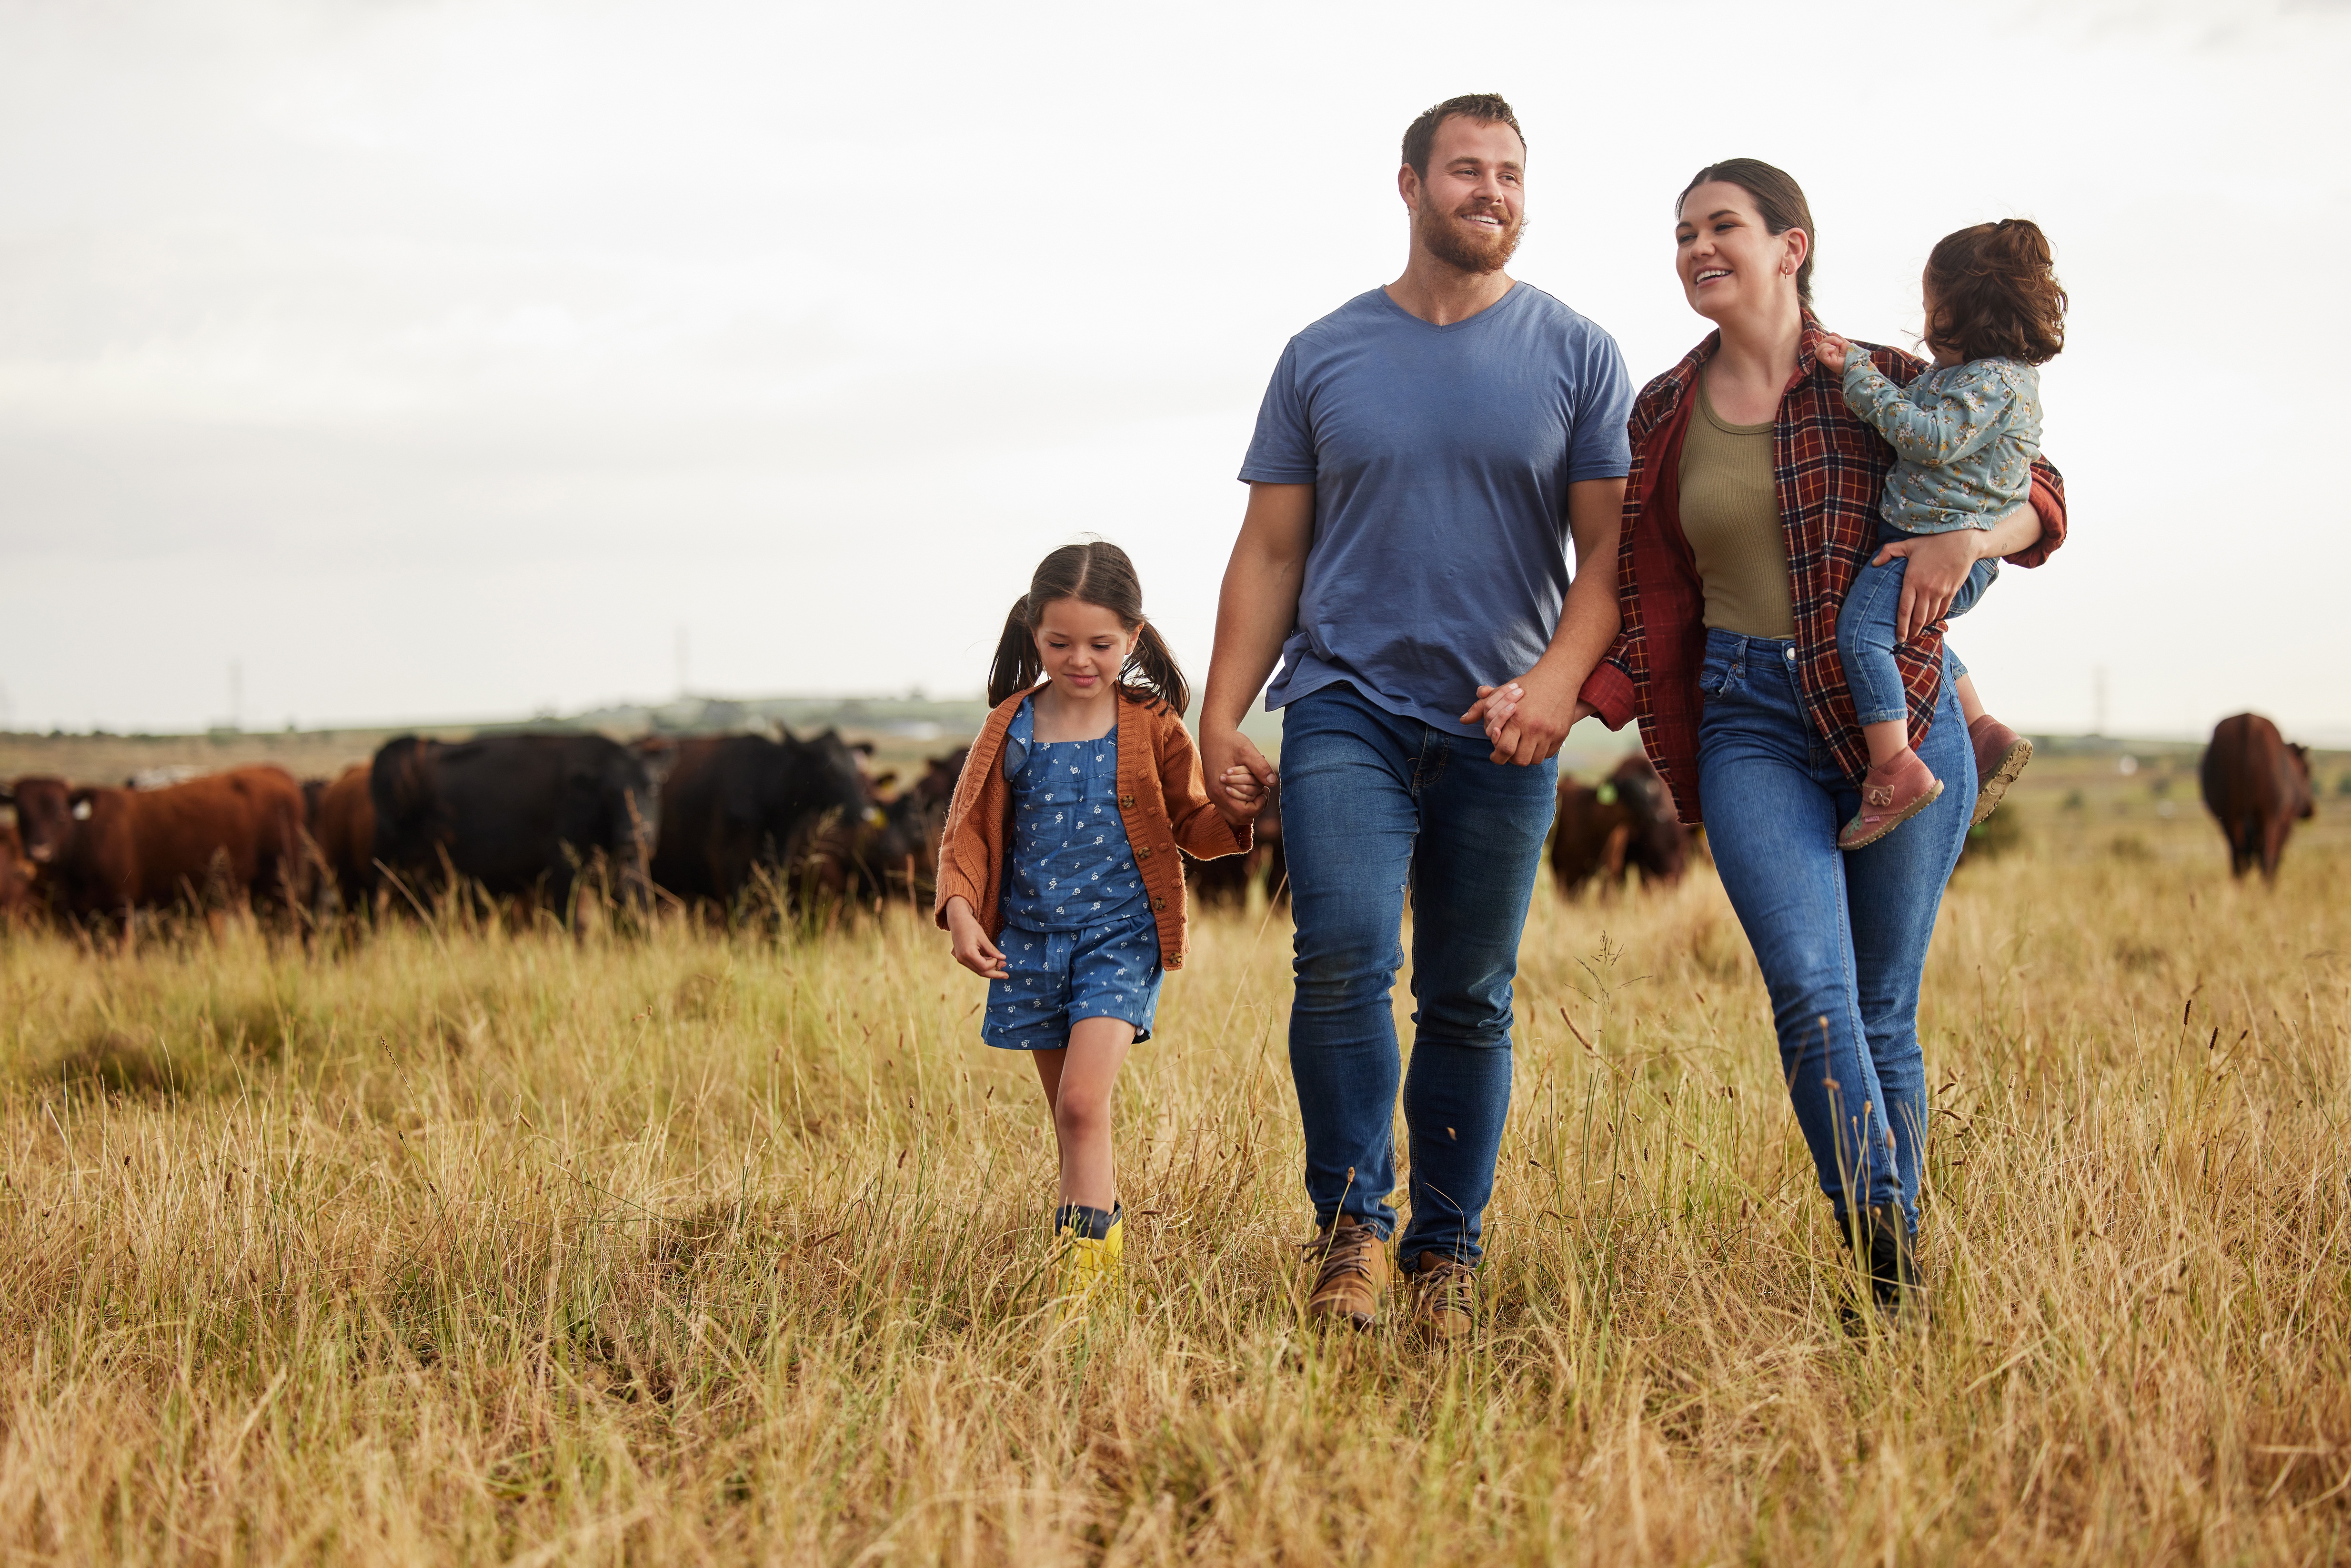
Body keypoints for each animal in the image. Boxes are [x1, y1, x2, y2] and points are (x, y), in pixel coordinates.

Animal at [6, 761, 312, 926]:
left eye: (60, 813)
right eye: (21, 814)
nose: (39, 852)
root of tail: (278, 774)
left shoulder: (119, 909)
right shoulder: (79, 915)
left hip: (279, 887)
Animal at [371, 738, 658, 921]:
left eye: (652, 787)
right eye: (609, 793)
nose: (635, 835)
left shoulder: (625, 868)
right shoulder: (564, 867)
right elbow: (575, 921)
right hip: (396, 873)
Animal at [2200, 714, 2313, 884]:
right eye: (2307, 770)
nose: (2309, 809)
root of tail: (2249, 721)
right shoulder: (2285, 823)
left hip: (2230, 818)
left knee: (2239, 860)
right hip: (2267, 817)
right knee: (2265, 859)